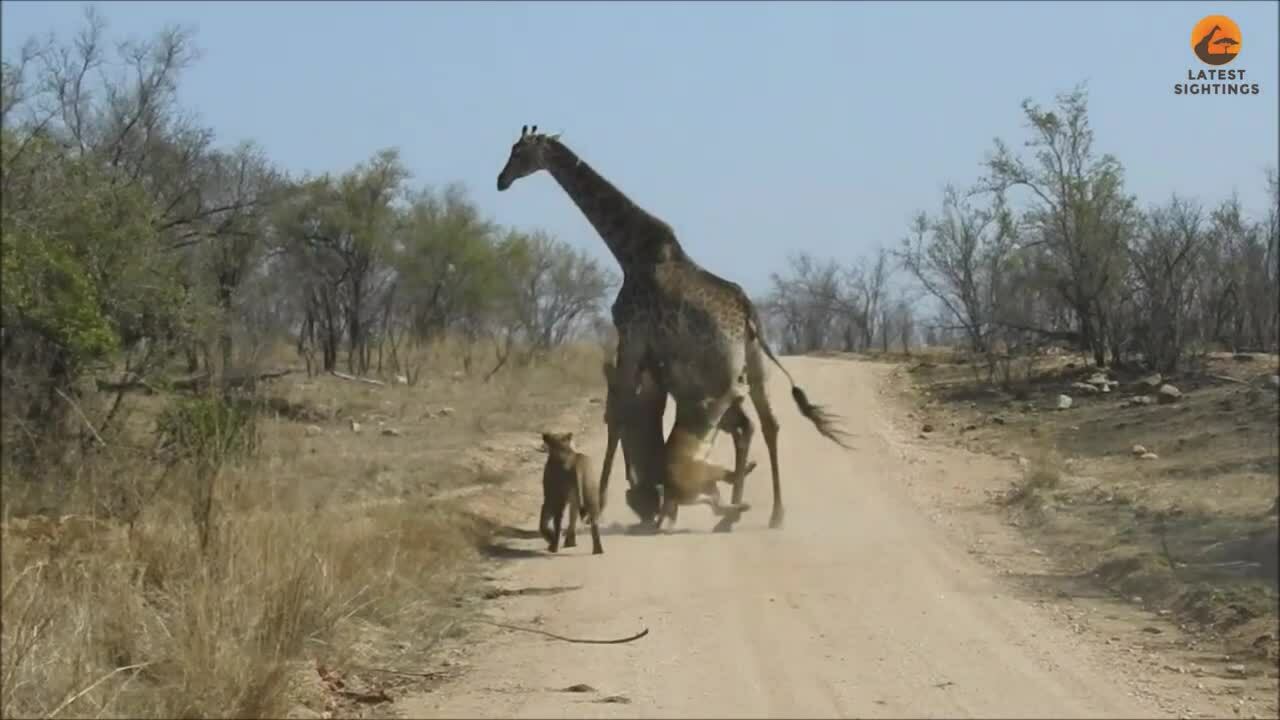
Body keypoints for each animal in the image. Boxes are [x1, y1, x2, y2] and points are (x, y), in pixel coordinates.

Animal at [496, 126, 849, 527]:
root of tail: (747, 313)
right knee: (767, 423)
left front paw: (604, 502)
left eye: (520, 152)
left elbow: (618, 414)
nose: (501, 181)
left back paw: (728, 511)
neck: (629, 251)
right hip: (755, 363)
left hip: (723, 368)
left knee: (743, 425)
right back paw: (769, 512)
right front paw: (652, 501)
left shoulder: (631, 335)